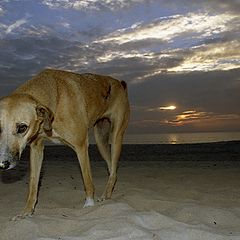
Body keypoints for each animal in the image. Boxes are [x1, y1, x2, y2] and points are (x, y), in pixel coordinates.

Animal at [0, 68, 129, 218]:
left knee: (113, 168)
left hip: (115, 137)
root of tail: (119, 83)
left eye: (22, 127)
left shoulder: (81, 146)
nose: (3, 165)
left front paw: (89, 205)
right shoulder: (36, 148)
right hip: (100, 140)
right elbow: (33, 184)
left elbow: (87, 180)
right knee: (112, 169)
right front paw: (27, 211)